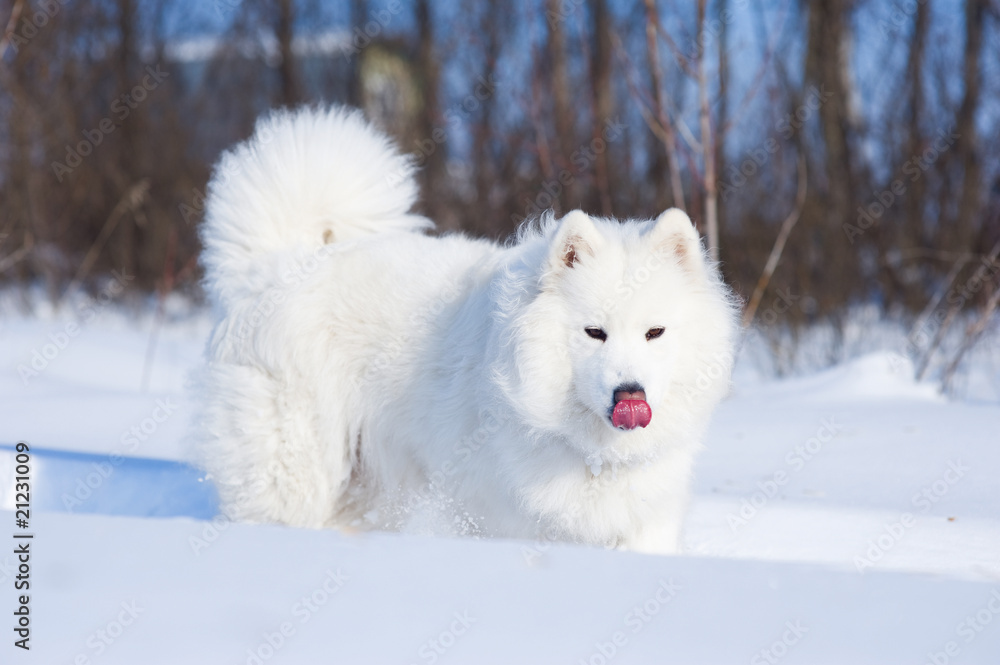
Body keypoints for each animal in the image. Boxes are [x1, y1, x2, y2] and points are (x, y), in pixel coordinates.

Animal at [199, 107, 740, 556]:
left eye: (655, 332)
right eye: (594, 332)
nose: (630, 394)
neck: (589, 450)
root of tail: (280, 264)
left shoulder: (644, 523)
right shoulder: (509, 518)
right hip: (297, 466)